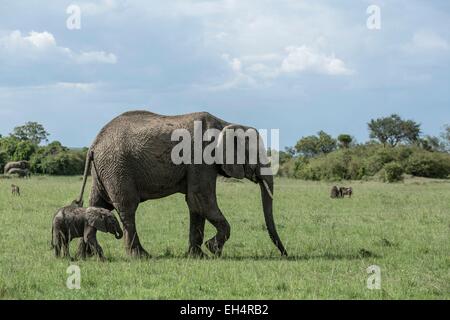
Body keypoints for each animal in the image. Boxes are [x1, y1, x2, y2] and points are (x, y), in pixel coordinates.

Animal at [76, 110, 288, 258]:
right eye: (256, 154)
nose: (285, 255)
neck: (225, 124)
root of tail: (94, 145)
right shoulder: (201, 159)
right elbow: (201, 199)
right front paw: (213, 249)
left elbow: (195, 205)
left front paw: (198, 255)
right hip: (118, 167)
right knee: (127, 208)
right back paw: (140, 256)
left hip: (104, 170)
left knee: (98, 204)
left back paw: (85, 256)